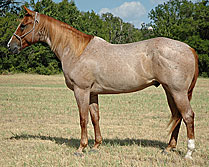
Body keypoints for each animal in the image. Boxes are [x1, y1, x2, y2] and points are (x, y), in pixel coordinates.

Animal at [7, 7, 198, 160]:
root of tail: (189, 48)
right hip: (169, 91)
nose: (10, 46)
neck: (77, 51)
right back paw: (168, 148)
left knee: (187, 116)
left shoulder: (81, 91)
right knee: (177, 116)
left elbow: (83, 118)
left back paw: (189, 153)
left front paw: (81, 148)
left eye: (23, 25)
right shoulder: (92, 93)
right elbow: (95, 118)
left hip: (178, 92)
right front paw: (96, 146)